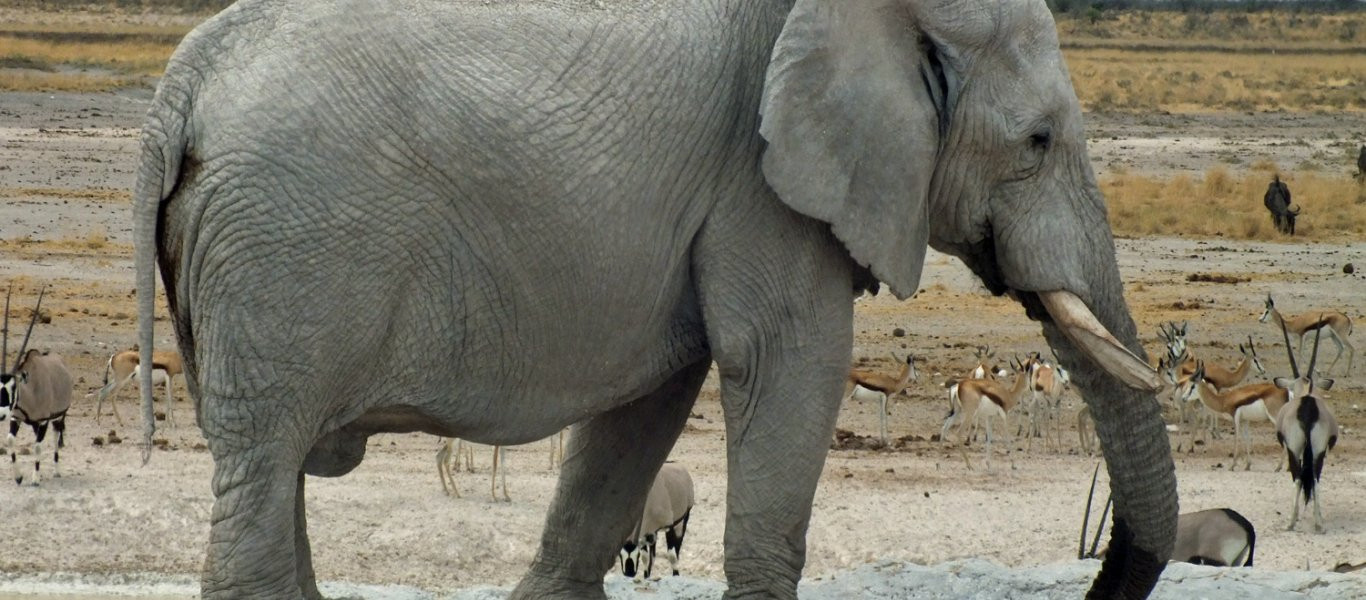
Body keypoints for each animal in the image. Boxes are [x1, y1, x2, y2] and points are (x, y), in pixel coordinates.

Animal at [1, 287, 72, 489]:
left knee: (56, 436)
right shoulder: (16, 418)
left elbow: (38, 446)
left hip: (58, 416)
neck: (30, 392)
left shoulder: (43, 421)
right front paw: (18, 477)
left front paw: (35, 479)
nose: (1, 414)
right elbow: (10, 440)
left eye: (13, 387)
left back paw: (56, 471)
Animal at [138, 0, 1180, 598]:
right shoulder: (761, 181)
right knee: (262, 483)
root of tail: (183, 81)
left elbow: (642, 414)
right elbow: (789, 364)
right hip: (283, 252)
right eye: (1038, 141)